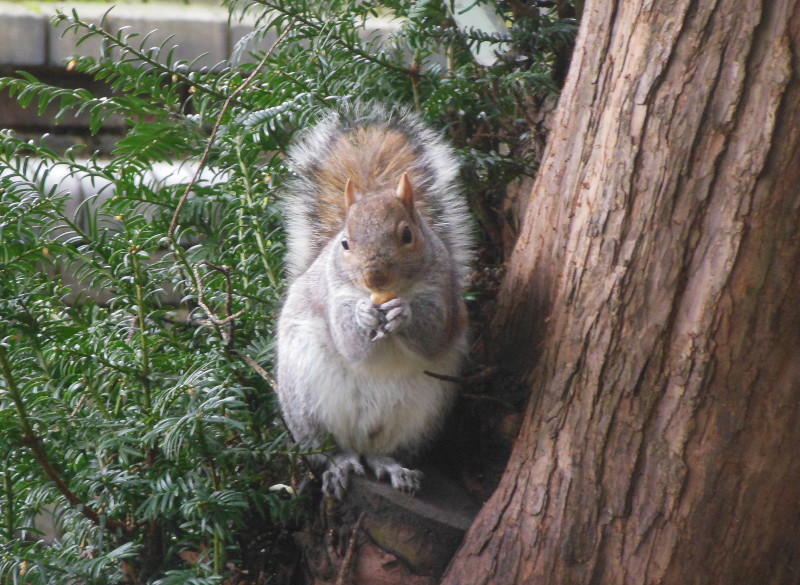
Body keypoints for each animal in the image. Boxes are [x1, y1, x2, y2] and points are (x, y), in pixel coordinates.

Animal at [276, 105, 472, 498]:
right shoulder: (332, 295)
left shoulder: (444, 293)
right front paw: (363, 315)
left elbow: (433, 334)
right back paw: (341, 465)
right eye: (345, 243)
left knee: (384, 451)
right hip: (307, 409)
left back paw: (394, 468)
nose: (374, 278)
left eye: (407, 235)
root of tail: (360, 443)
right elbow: (349, 343)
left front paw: (403, 313)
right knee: (330, 450)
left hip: (422, 414)